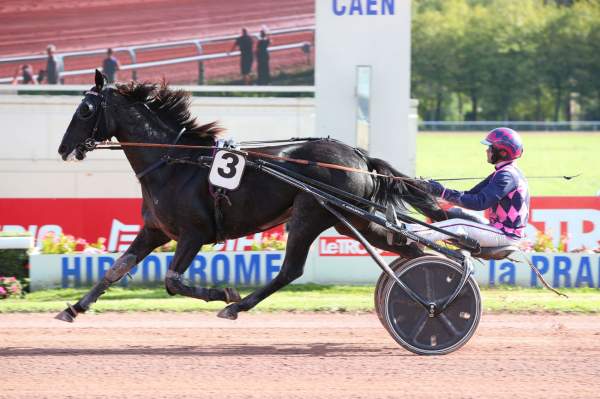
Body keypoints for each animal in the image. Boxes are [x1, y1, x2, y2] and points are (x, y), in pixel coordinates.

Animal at [55, 71, 446, 322]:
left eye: (84, 110)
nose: (63, 148)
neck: (174, 162)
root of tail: (359, 156)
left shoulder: (193, 233)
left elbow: (172, 281)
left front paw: (224, 293)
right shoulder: (155, 230)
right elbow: (115, 269)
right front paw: (73, 308)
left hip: (310, 214)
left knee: (290, 269)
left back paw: (236, 306)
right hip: (352, 220)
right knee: (411, 248)